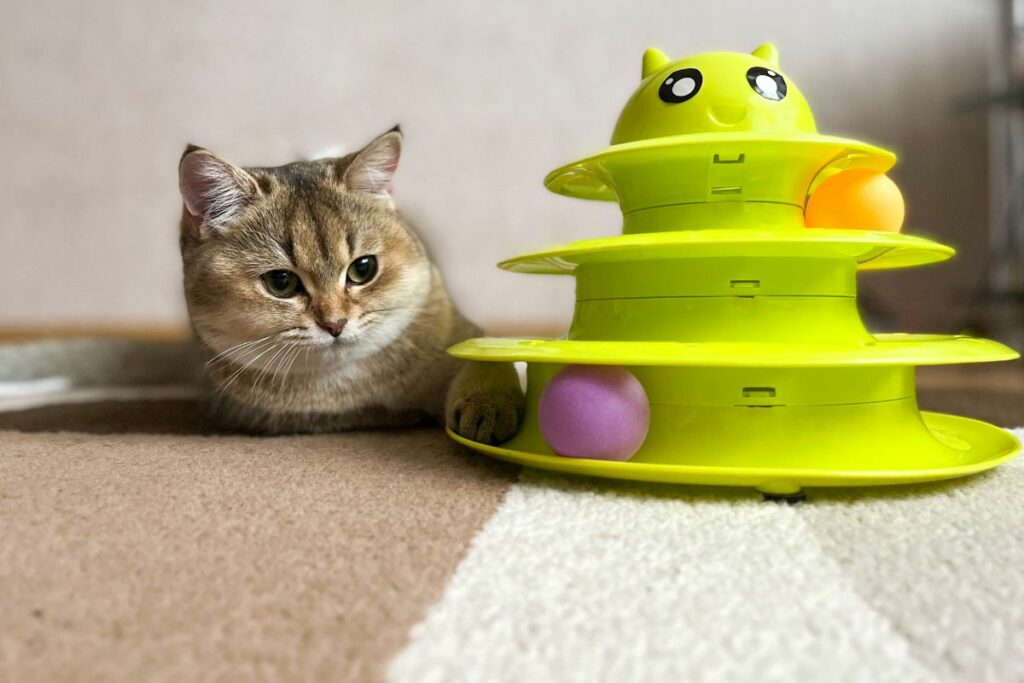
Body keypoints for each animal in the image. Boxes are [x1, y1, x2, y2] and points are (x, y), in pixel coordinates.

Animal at [0, 126, 524, 444]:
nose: (335, 323)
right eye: (281, 282)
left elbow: (490, 363)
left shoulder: (461, 331)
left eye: (363, 269)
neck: (344, 383)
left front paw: (486, 407)